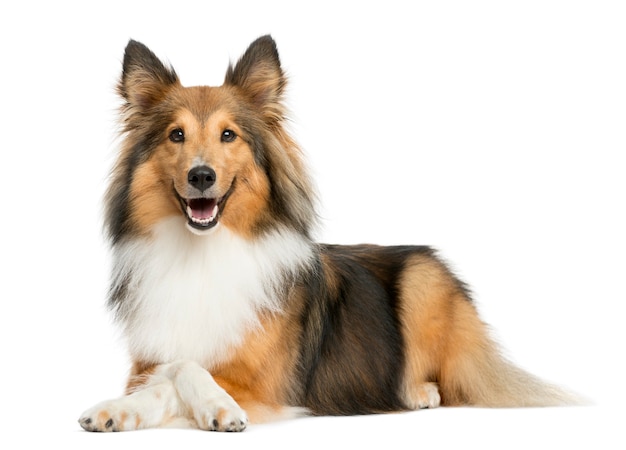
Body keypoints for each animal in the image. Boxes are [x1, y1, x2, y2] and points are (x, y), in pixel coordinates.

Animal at [80, 36, 576, 432]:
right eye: (176, 135)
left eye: (229, 135)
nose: (201, 176)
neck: (202, 251)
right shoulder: (144, 361)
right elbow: (163, 374)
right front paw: (114, 410)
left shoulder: (265, 384)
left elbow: (183, 370)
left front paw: (220, 410)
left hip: (423, 278)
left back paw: (417, 393)